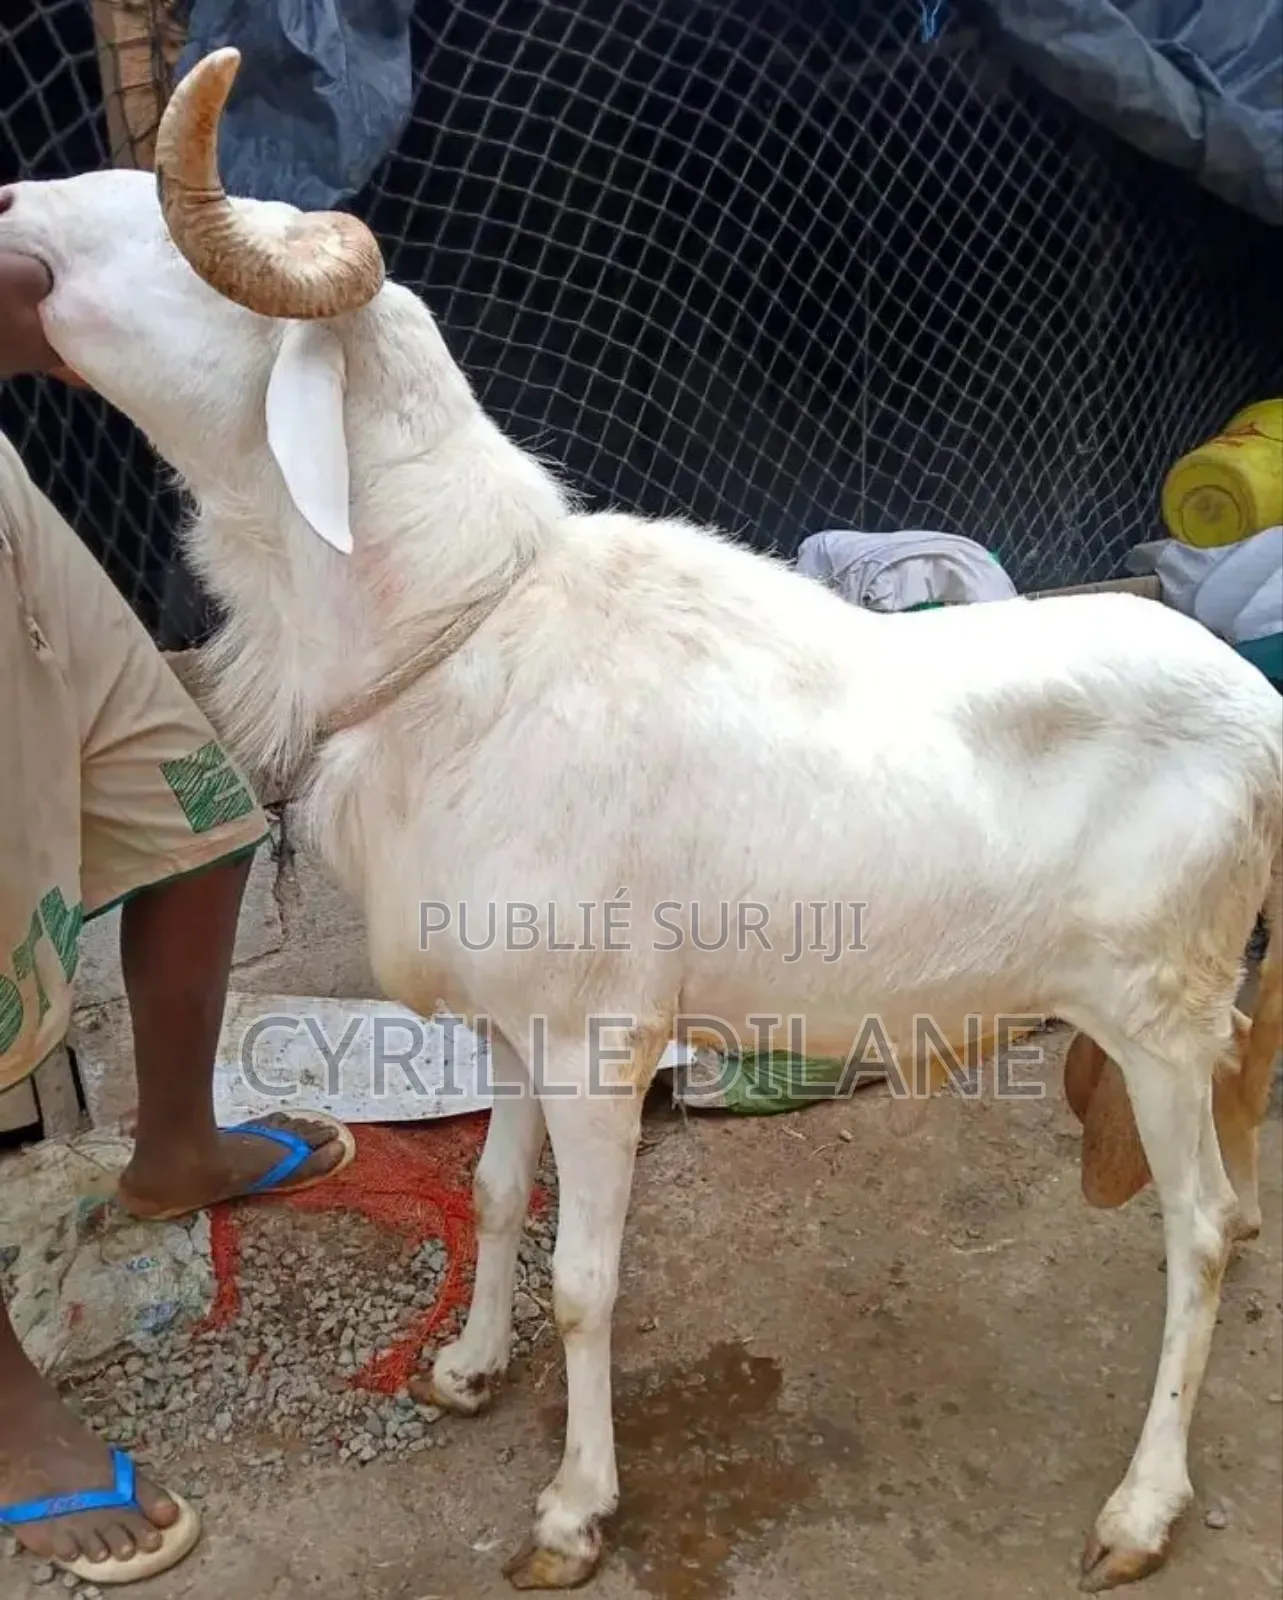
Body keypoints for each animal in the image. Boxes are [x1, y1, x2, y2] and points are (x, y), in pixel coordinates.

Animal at [3, 44, 1280, 1594]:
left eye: (182, 242)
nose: (10, 204)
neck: (455, 633)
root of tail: (1262, 716)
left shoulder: (595, 1041)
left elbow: (587, 1282)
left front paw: (571, 1511)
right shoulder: (505, 1023)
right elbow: (498, 1198)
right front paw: (467, 1369)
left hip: (1159, 1016)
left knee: (1199, 1232)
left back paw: (1139, 1510)